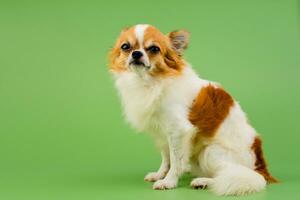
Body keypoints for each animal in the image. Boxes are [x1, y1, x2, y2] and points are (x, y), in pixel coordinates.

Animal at [107, 23, 276, 195]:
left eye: (154, 49)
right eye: (125, 47)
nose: (136, 53)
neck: (150, 82)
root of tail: (261, 170)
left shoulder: (178, 130)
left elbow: (175, 160)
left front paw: (168, 181)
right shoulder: (163, 132)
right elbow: (166, 157)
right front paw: (160, 174)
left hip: (210, 152)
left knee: (227, 175)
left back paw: (203, 182)